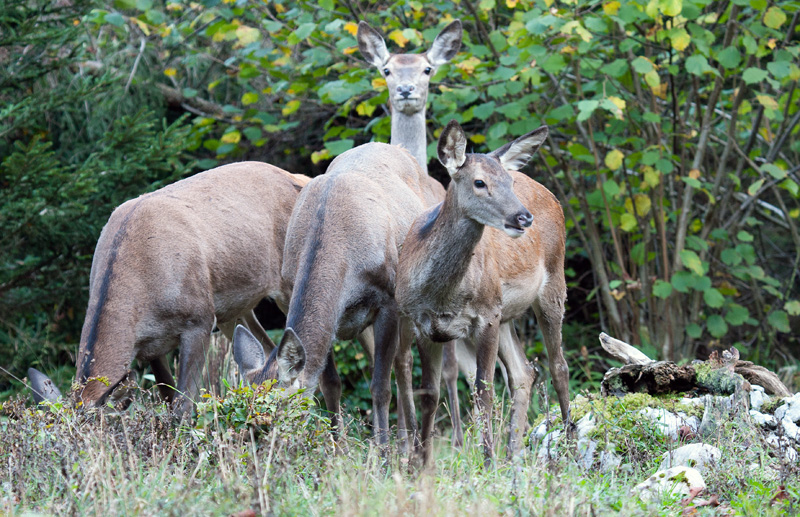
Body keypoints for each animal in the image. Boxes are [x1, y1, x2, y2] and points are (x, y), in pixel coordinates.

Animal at [28, 161, 310, 416]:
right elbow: (167, 396)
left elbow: (182, 406)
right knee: (266, 348)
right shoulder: (150, 346)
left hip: (286, 284)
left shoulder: (200, 320)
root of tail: (301, 177)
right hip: (235, 309)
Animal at [394, 120, 568, 464]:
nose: (523, 217)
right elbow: (429, 393)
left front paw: (488, 461)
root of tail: (550, 194)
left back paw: (569, 442)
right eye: (479, 182)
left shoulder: (486, 315)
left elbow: (483, 390)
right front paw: (420, 464)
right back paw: (514, 454)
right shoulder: (422, 324)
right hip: (506, 313)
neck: (441, 296)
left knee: (558, 366)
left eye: (509, 181)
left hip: (553, 282)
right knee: (523, 371)